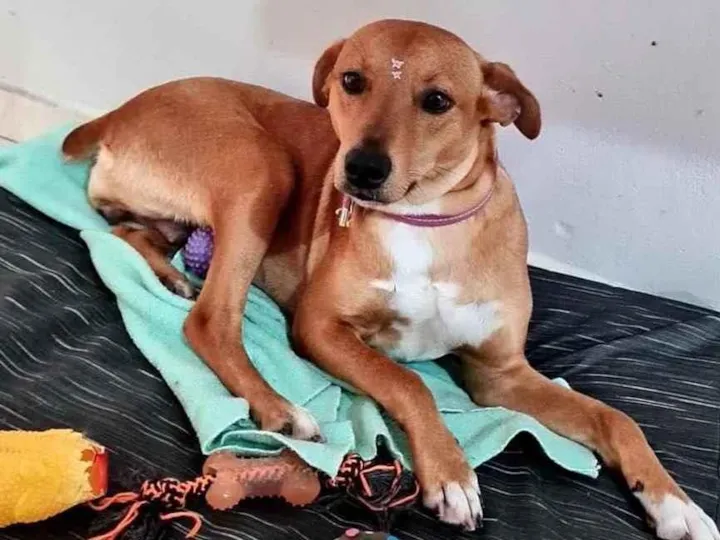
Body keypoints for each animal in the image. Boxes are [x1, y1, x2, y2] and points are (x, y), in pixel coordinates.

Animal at [62, 19, 718, 539]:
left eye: (438, 100)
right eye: (352, 81)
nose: (360, 169)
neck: (426, 223)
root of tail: (121, 111)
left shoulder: (501, 374)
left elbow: (616, 417)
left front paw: (674, 503)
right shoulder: (321, 326)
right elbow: (410, 382)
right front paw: (452, 474)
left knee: (125, 234)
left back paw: (169, 278)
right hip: (261, 168)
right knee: (209, 321)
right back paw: (279, 411)